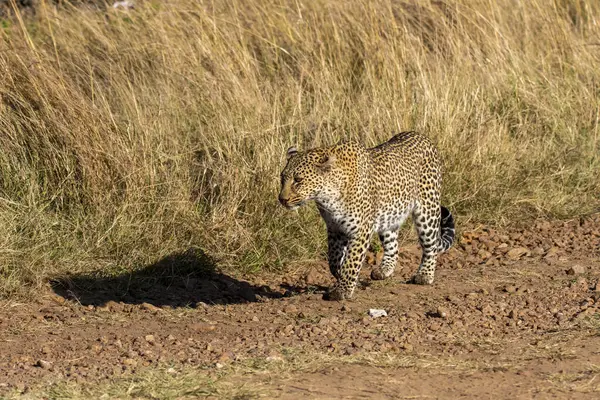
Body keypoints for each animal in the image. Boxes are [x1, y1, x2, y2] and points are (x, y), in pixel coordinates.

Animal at [278, 131, 458, 300]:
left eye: (298, 180)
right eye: (282, 178)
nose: (282, 199)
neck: (327, 196)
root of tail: (421, 136)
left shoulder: (360, 230)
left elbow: (351, 261)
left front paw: (342, 290)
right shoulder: (335, 229)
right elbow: (333, 260)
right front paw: (341, 277)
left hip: (427, 210)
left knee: (430, 246)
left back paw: (425, 275)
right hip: (388, 216)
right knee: (393, 246)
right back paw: (384, 270)